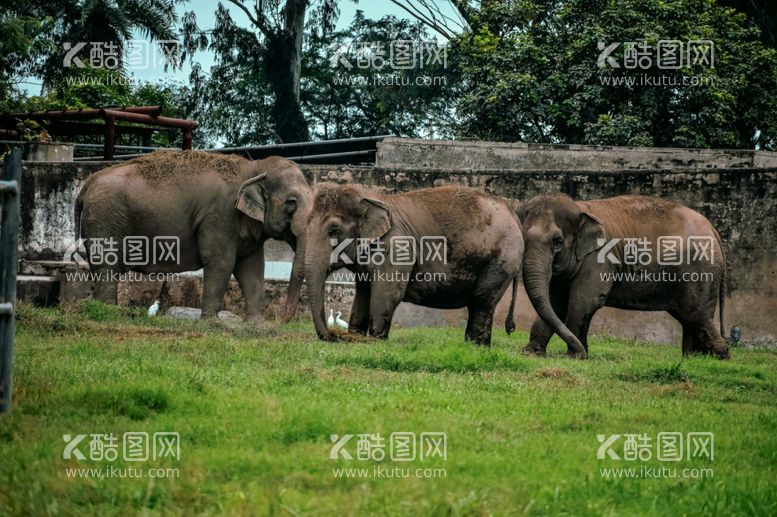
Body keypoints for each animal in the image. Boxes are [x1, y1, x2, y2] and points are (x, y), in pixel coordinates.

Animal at [74, 149, 312, 320]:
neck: (254, 167)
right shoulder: (221, 213)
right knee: (107, 265)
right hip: (105, 218)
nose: (281, 322)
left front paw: (256, 326)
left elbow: (251, 267)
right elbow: (221, 261)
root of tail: (87, 184)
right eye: (291, 203)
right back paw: (109, 313)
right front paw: (212, 323)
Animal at [304, 183, 520, 344]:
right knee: (478, 303)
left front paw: (376, 341)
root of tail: (514, 214)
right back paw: (474, 347)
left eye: (334, 231)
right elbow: (363, 293)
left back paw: (476, 347)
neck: (368, 197)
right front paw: (356, 336)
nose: (333, 336)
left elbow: (387, 293)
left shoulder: (397, 248)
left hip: (501, 261)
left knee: (483, 300)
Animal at [516, 194, 728, 358]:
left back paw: (718, 356)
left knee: (695, 311)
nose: (582, 351)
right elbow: (555, 302)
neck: (579, 207)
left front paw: (574, 356)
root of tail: (713, 229)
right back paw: (693, 358)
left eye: (557, 242)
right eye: (522, 238)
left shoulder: (598, 259)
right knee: (688, 315)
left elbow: (582, 301)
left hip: (700, 269)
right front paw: (531, 353)